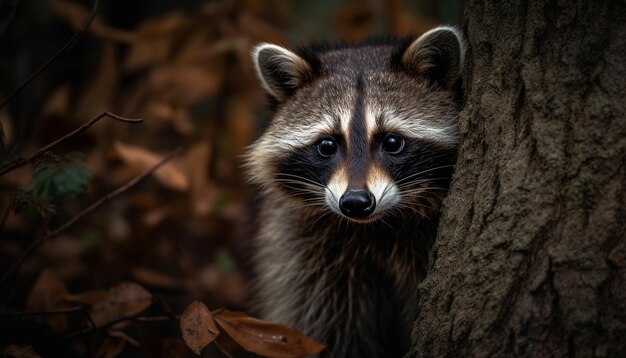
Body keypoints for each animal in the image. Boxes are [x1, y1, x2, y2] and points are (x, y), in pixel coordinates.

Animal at [244, 26, 464, 356]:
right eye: (327, 145)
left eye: (392, 142)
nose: (356, 202)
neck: (376, 228)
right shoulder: (304, 253)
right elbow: (323, 323)